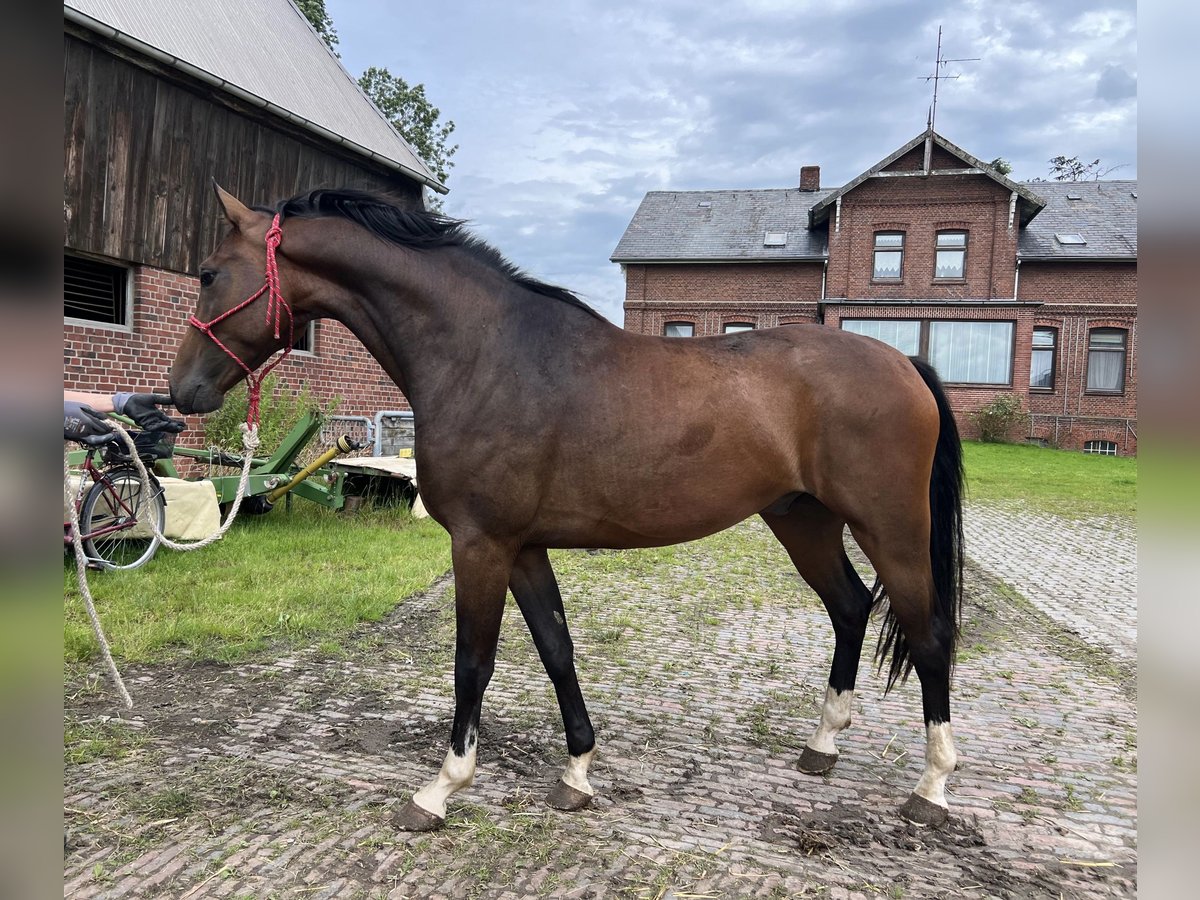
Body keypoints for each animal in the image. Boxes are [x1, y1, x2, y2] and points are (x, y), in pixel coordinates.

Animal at [171, 187, 964, 835]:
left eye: (208, 274)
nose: (182, 392)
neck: (484, 356)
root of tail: (904, 362)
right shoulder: (522, 546)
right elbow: (556, 649)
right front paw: (577, 772)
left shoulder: (481, 543)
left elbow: (473, 662)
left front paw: (439, 790)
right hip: (802, 519)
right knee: (852, 607)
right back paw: (822, 746)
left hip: (891, 528)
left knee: (928, 635)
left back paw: (931, 787)